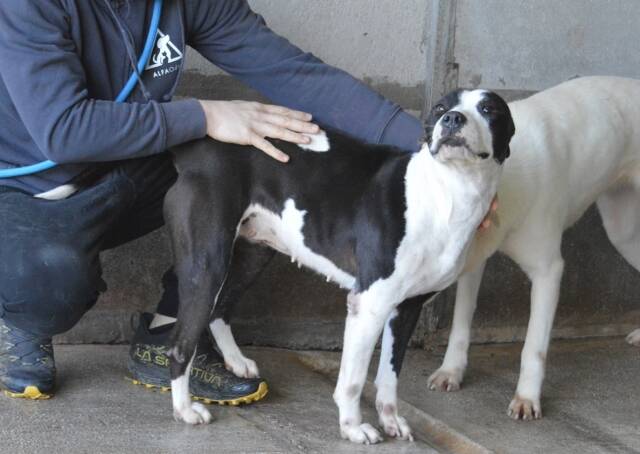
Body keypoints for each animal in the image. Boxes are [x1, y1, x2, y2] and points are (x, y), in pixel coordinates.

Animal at [160, 89, 514, 444]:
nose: (452, 118)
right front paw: (354, 427)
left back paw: (234, 361)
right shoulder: (369, 304)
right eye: (440, 107)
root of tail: (201, 144)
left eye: (489, 108)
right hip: (207, 264)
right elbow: (353, 381)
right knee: (180, 344)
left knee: (219, 309)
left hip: (253, 254)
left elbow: (390, 376)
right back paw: (185, 410)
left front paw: (391, 420)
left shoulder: (406, 309)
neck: (448, 191)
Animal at [425, 76, 640, 421]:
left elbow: (533, 347)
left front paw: (526, 397)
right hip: (624, 232)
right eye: (440, 107)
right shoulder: (474, 262)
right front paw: (451, 371)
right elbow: (460, 323)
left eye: (488, 109)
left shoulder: (548, 273)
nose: (453, 118)